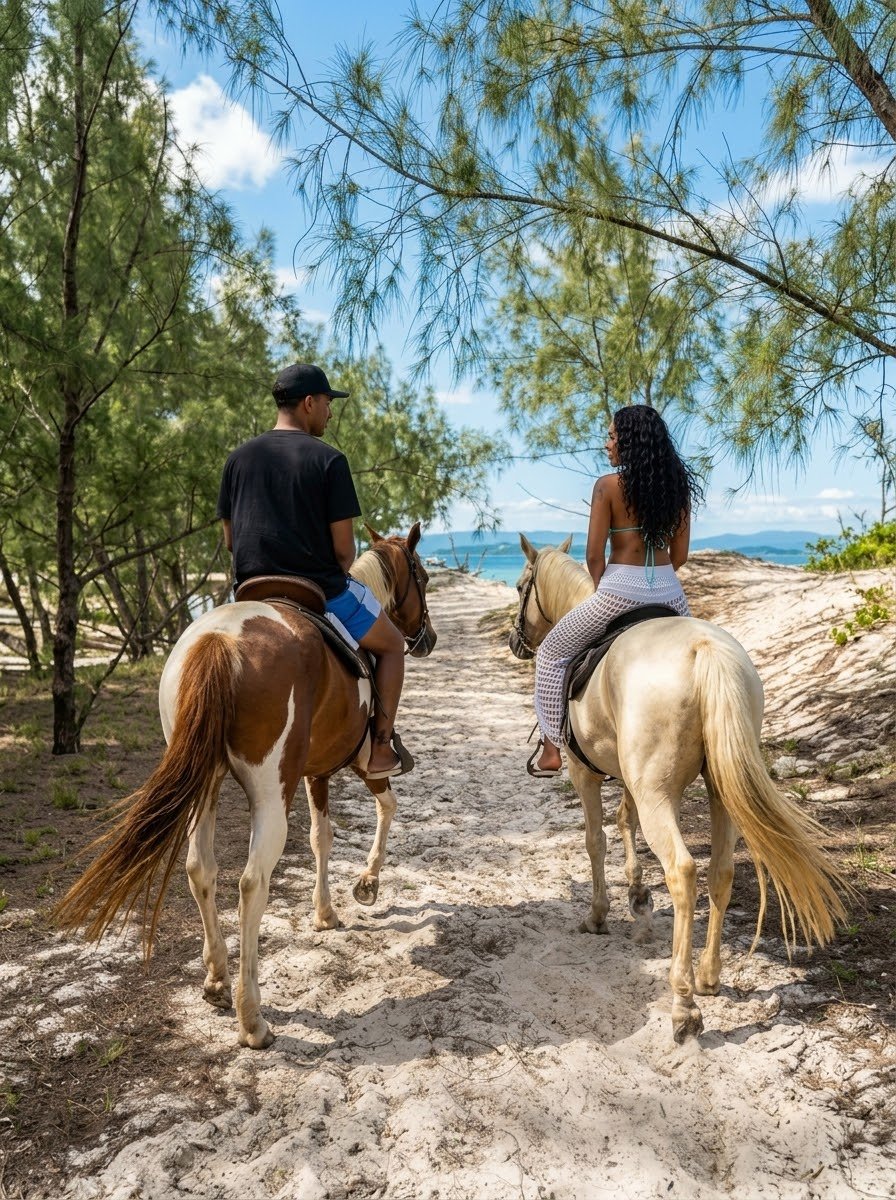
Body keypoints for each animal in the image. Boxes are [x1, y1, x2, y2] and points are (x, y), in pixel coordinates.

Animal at [55, 523, 436, 1049]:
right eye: (422, 576)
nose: (427, 639)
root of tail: (221, 640)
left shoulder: (316, 772)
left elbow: (321, 838)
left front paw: (325, 911)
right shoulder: (360, 767)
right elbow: (382, 810)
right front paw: (366, 885)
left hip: (205, 787)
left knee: (200, 869)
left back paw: (216, 979)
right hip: (271, 793)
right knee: (253, 882)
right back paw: (251, 1016)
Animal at [509, 534, 848, 1043]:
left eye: (519, 587)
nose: (516, 641)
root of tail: (703, 647)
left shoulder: (585, 773)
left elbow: (595, 840)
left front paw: (599, 914)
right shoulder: (630, 777)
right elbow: (624, 820)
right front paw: (636, 893)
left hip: (658, 795)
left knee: (684, 872)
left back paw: (684, 1004)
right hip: (719, 791)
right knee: (720, 872)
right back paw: (707, 977)